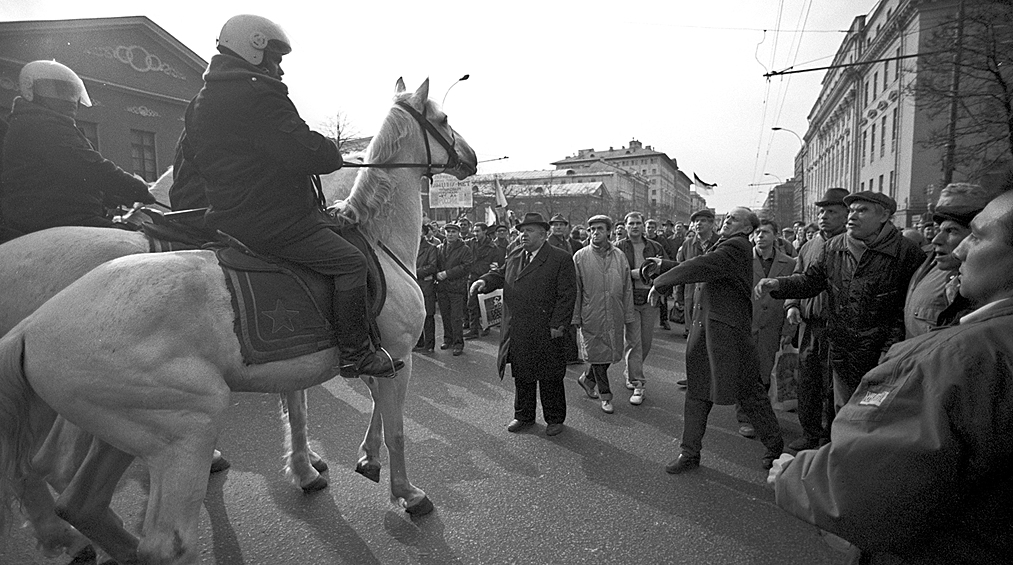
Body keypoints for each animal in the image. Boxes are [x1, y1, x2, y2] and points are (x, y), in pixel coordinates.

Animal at [0, 77, 476, 562]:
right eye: (443, 120)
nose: (472, 158)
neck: (377, 239)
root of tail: (32, 329)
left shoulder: (354, 358)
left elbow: (326, 410)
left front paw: (347, 461)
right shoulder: (395, 354)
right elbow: (394, 426)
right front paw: (404, 491)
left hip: (116, 432)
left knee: (75, 497)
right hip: (185, 427)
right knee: (139, 525)